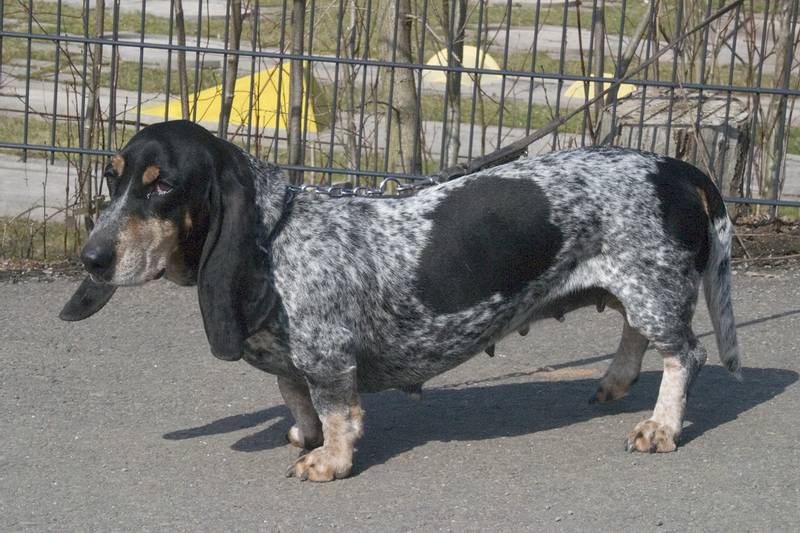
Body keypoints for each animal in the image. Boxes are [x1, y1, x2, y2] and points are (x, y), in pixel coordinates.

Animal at [59, 120, 740, 482]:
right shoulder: (295, 361)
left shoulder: (330, 360)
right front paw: (302, 435)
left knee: (686, 355)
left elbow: (337, 411)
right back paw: (616, 382)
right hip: (637, 287)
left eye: (163, 188)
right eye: (113, 179)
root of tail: (680, 170)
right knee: (638, 336)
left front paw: (328, 461)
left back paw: (660, 426)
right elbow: (294, 394)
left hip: (652, 288)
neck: (277, 234)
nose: (91, 259)